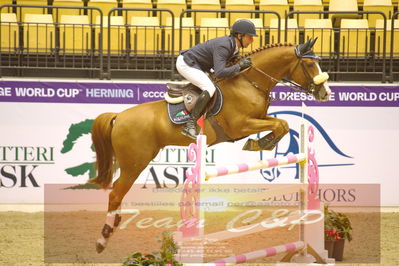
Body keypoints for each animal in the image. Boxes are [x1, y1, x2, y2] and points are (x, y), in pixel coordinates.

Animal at [90, 38, 332, 252]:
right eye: (310, 64)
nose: (326, 93)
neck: (249, 82)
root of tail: (119, 117)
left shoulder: (259, 118)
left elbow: (281, 123)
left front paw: (261, 142)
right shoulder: (241, 125)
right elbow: (281, 124)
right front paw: (258, 143)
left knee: (117, 191)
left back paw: (114, 225)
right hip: (135, 162)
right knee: (115, 193)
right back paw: (102, 239)